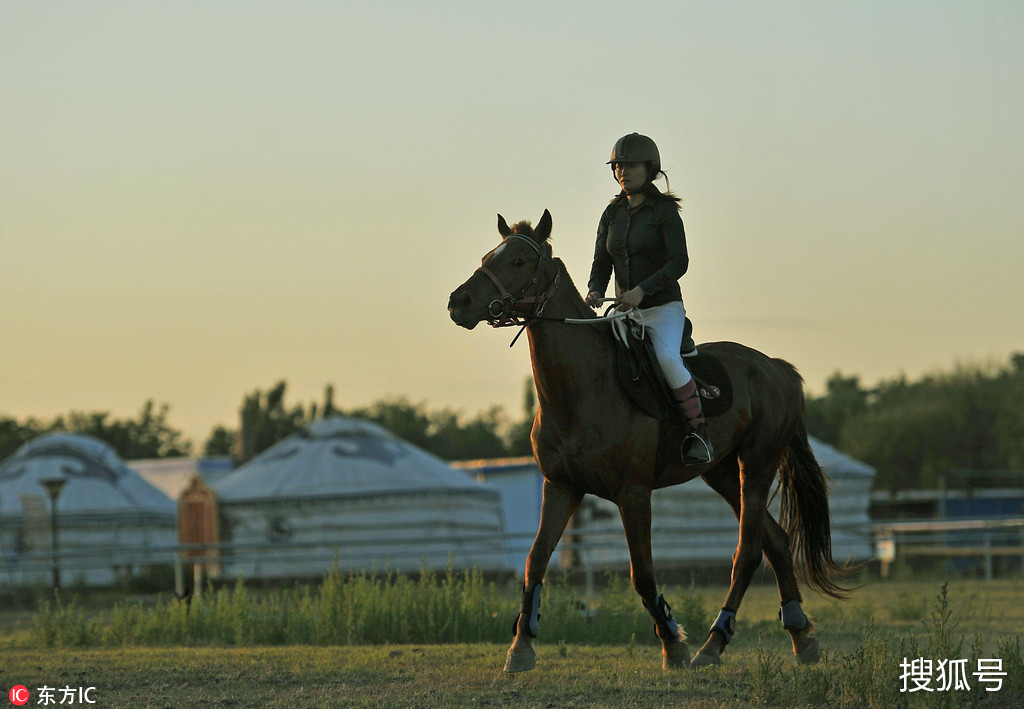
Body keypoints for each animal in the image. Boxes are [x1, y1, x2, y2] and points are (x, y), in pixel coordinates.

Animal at [448, 209, 847, 672]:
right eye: (487, 257)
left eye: (517, 261)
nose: (458, 302)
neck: (583, 389)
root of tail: (775, 367)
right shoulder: (561, 488)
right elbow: (535, 560)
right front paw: (521, 647)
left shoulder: (633, 493)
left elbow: (642, 574)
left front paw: (673, 644)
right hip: (722, 473)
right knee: (777, 542)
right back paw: (800, 635)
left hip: (757, 466)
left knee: (747, 552)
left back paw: (714, 642)